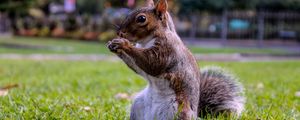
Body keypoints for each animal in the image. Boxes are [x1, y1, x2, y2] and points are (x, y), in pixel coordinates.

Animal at [106, 0, 245, 119]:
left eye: (141, 18)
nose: (120, 33)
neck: (146, 41)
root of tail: (196, 116)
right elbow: (138, 67)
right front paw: (113, 45)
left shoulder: (167, 50)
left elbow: (152, 63)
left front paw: (123, 44)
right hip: (138, 105)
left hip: (179, 111)